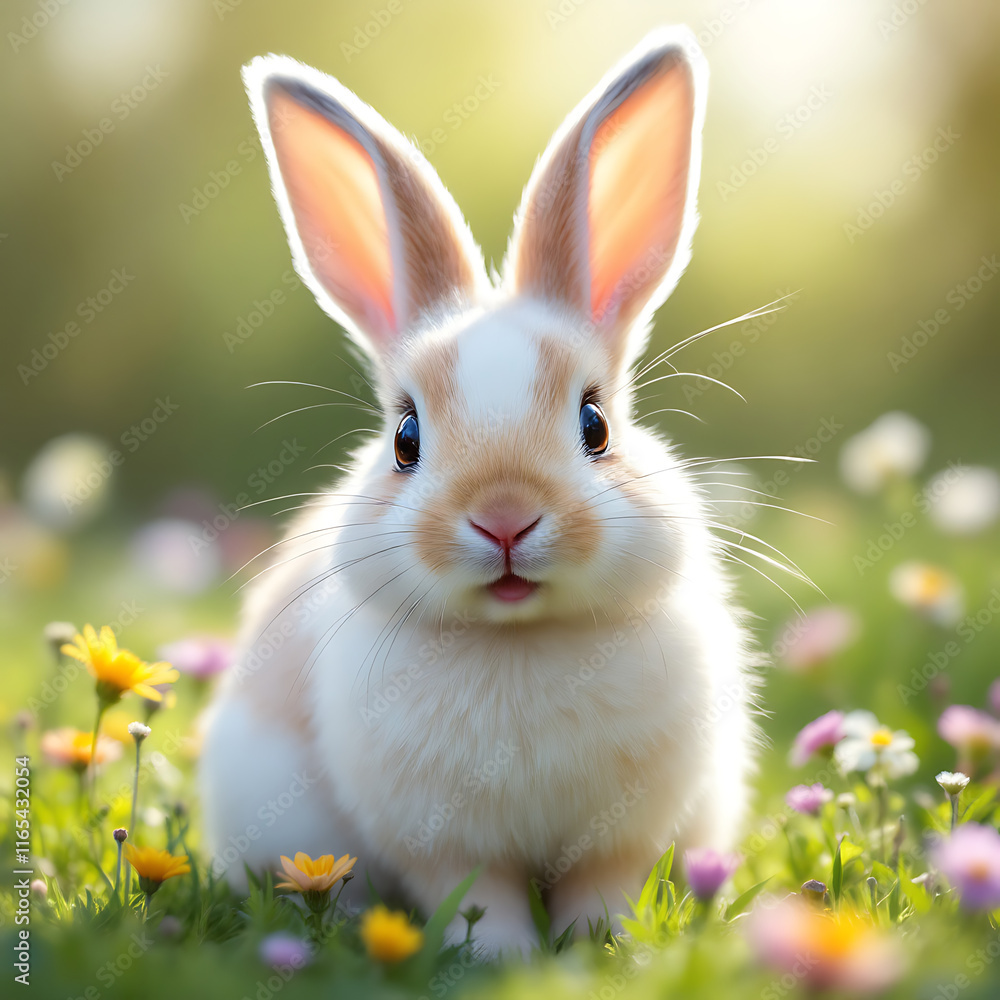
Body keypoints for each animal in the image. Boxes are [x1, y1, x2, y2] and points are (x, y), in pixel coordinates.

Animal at [199, 26, 760, 957]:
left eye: (596, 425)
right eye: (406, 440)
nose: (503, 519)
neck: (516, 639)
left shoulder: (623, 837)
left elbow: (602, 888)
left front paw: (597, 948)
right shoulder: (442, 844)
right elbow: (476, 896)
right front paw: (501, 956)